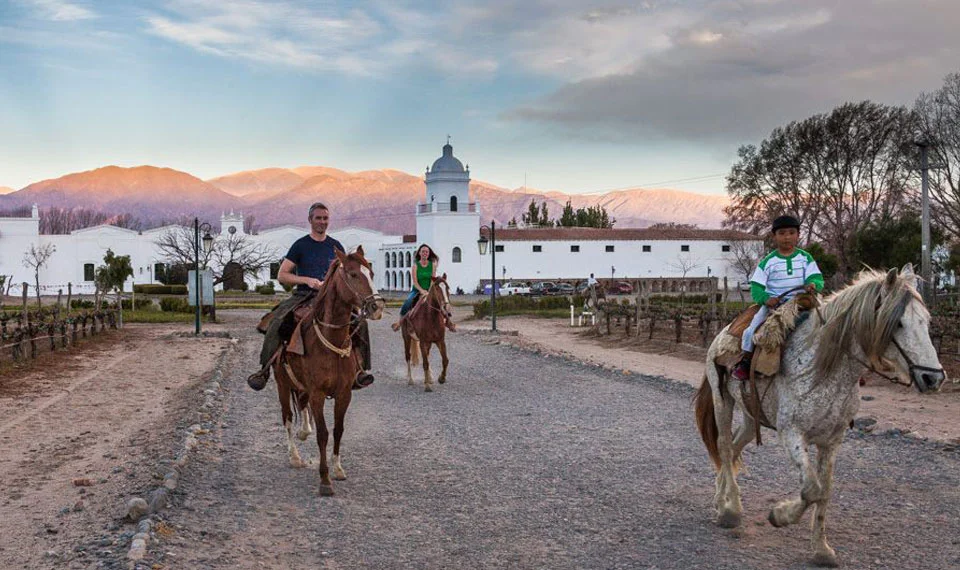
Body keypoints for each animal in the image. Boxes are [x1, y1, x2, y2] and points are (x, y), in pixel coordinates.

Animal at [272, 246, 384, 494]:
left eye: (371, 273)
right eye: (353, 274)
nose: (377, 307)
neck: (330, 341)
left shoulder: (344, 393)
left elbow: (338, 430)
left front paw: (338, 468)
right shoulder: (318, 394)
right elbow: (323, 433)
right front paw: (324, 480)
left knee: (301, 405)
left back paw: (304, 431)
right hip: (282, 384)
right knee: (287, 416)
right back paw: (294, 456)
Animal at [692, 264, 948, 564]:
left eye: (926, 322)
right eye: (898, 323)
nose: (933, 378)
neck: (821, 368)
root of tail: (724, 333)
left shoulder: (832, 442)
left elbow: (823, 492)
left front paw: (821, 549)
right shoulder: (792, 433)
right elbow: (811, 489)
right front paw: (779, 516)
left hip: (750, 415)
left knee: (732, 449)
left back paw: (721, 500)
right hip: (723, 401)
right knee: (724, 446)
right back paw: (730, 511)